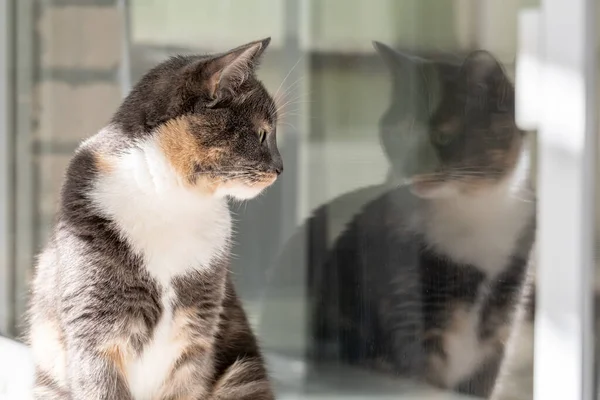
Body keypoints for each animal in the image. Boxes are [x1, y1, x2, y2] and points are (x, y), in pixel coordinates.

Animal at [27, 38, 282, 400]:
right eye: (262, 134)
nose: (280, 168)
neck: (170, 200)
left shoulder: (197, 331)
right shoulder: (94, 332)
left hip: (243, 374)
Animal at [308, 42, 536, 398]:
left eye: (441, 137)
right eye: (396, 134)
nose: (410, 168)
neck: (472, 212)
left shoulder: (500, 328)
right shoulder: (410, 316)